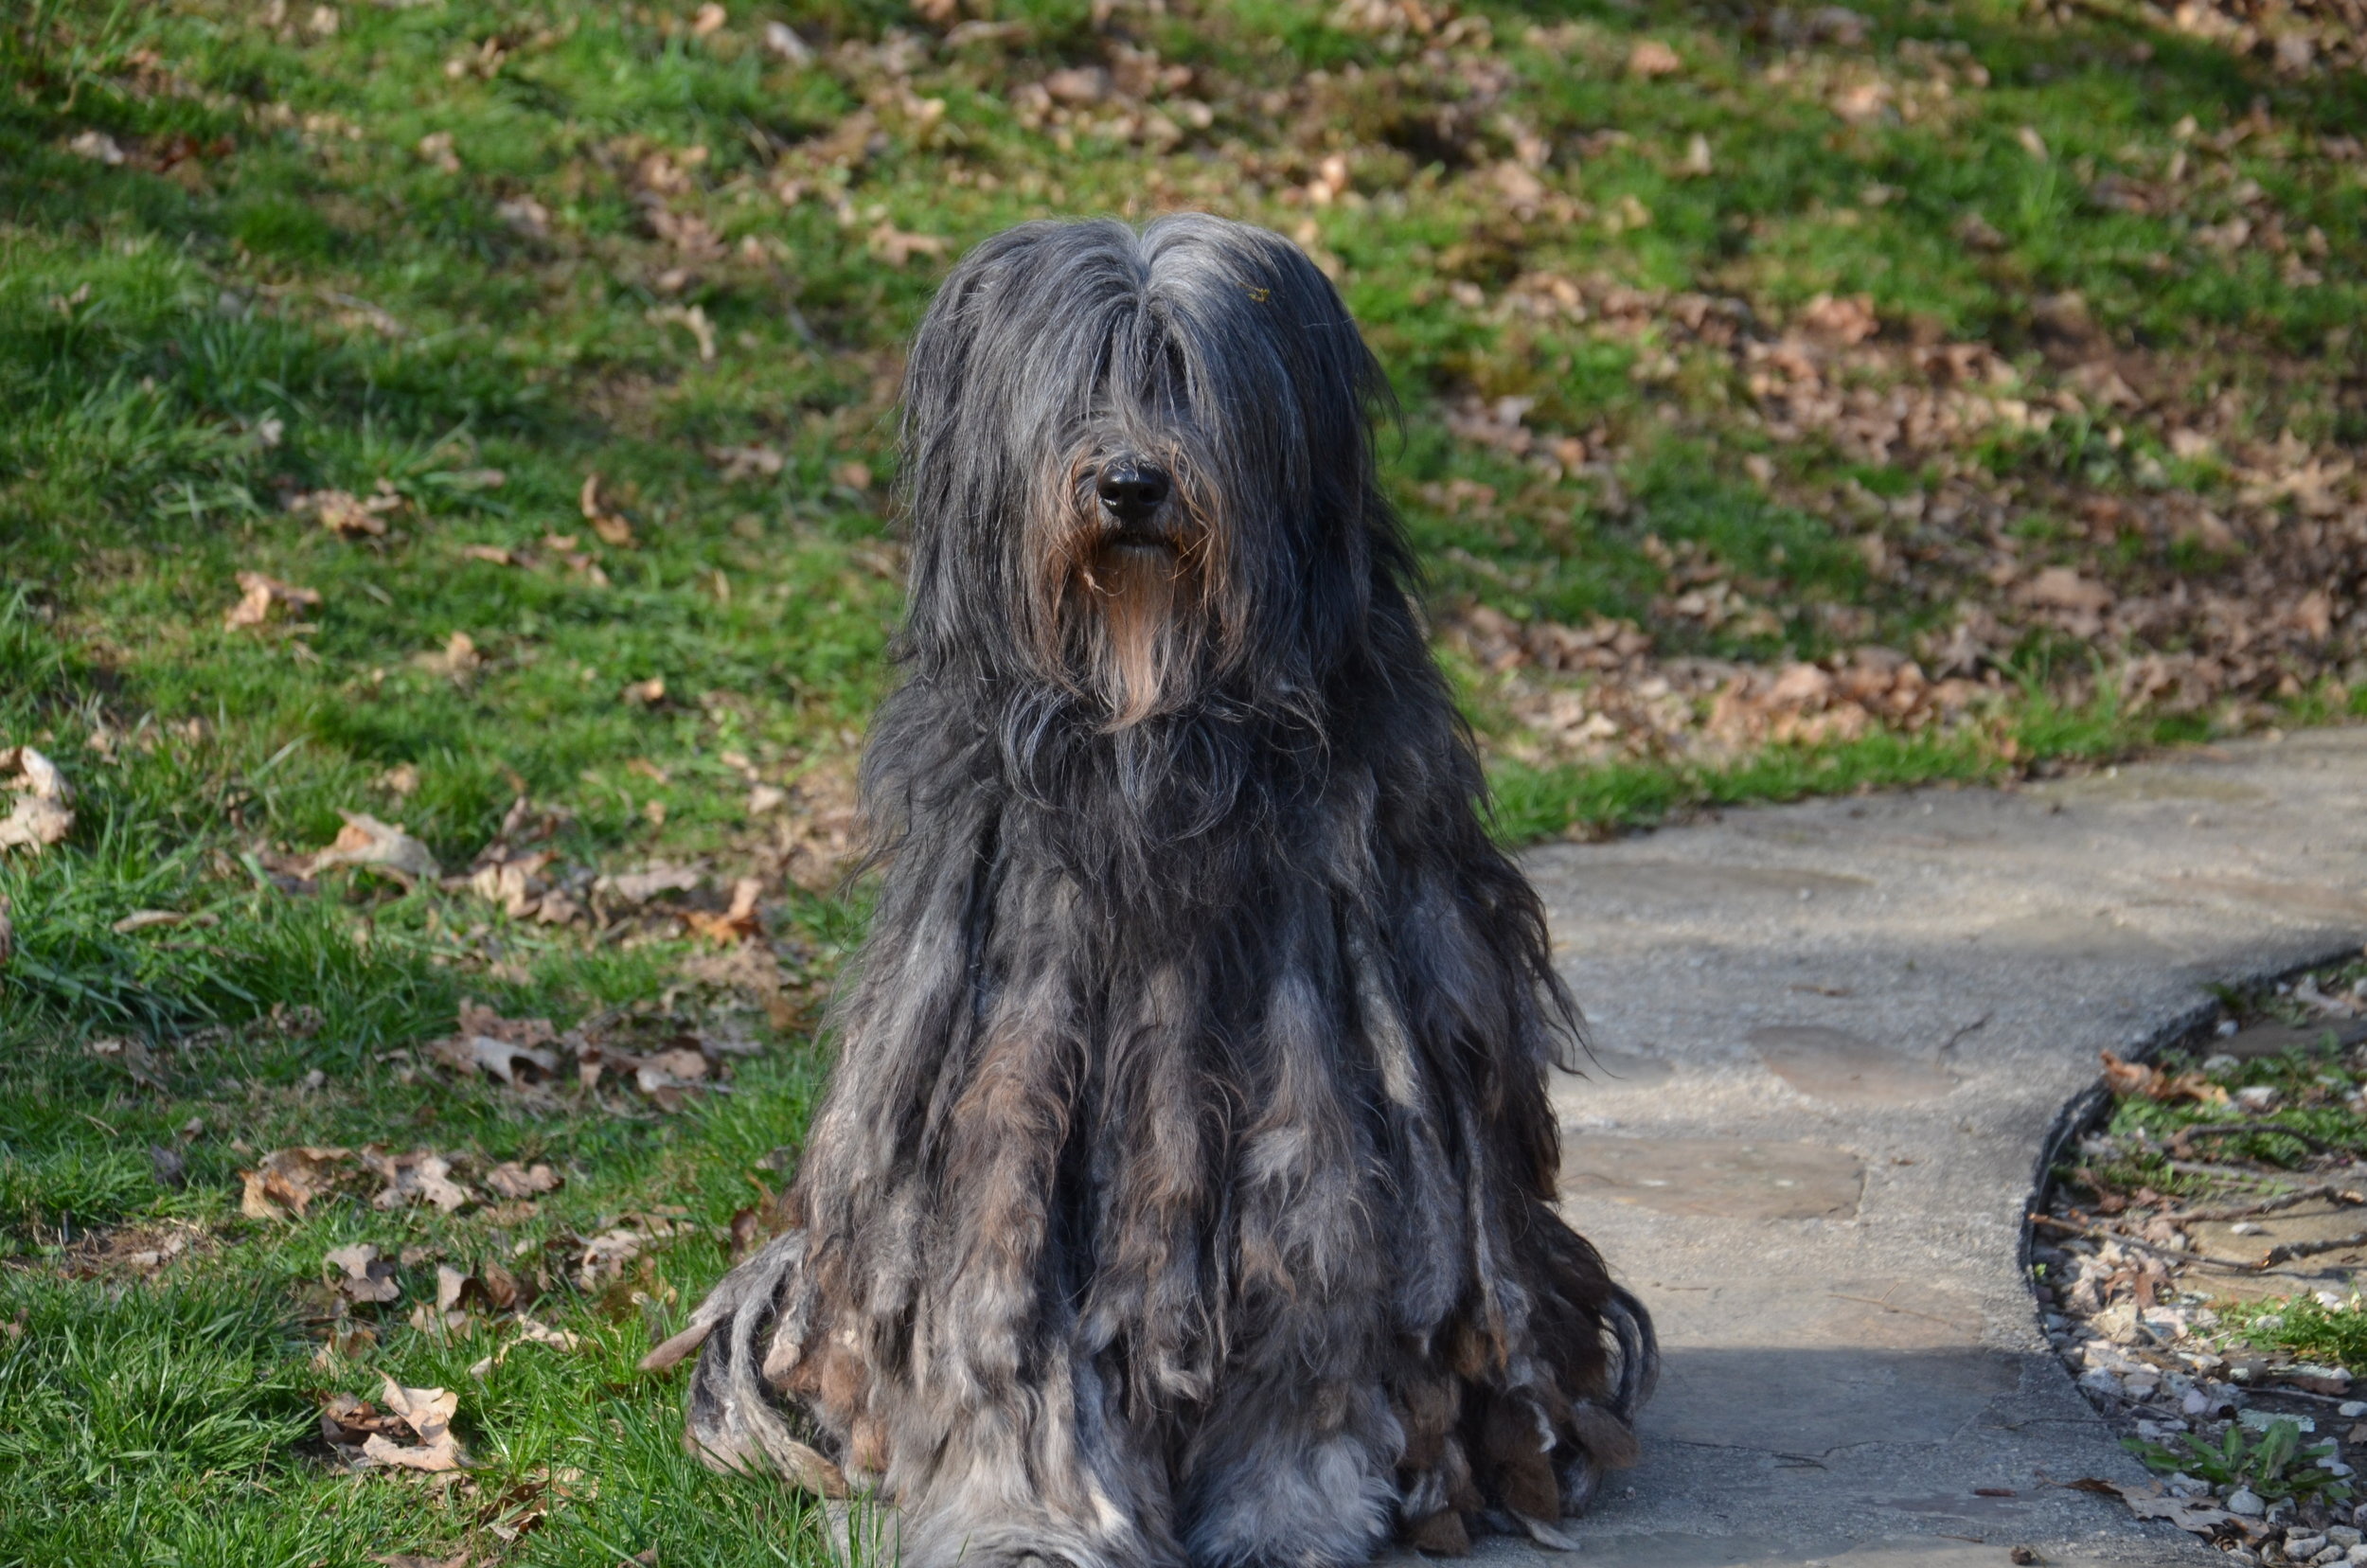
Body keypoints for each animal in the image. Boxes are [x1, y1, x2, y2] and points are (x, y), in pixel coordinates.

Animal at [644, 211, 1647, 1568]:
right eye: (1084, 380)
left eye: (1185, 378)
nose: (1130, 484)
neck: (1152, 736)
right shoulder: (1006, 1102)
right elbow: (1005, 1338)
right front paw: (1020, 1522)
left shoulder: (1320, 1113)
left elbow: (1312, 1326)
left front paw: (1288, 1519)